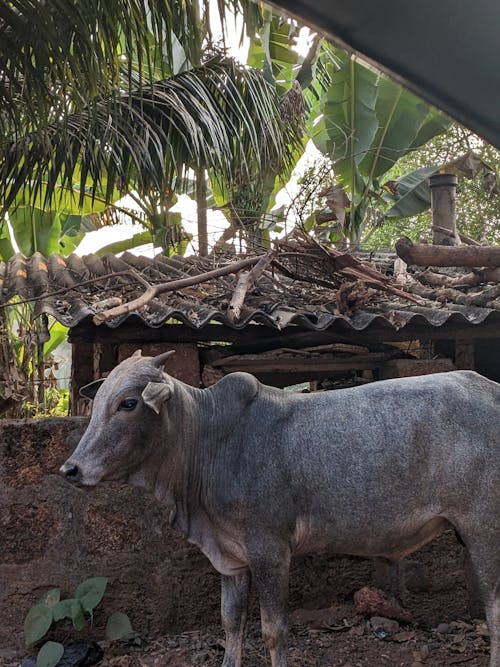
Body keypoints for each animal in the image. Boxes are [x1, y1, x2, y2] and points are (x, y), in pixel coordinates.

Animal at [59, 352, 500, 664]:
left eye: (128, 403)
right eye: (99, 400)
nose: (70, 469)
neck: (207, 439)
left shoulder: (270, 550)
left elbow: (274, 630)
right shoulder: (231, 559)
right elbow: (230, 623)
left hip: (483, 529)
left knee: (495, 612)